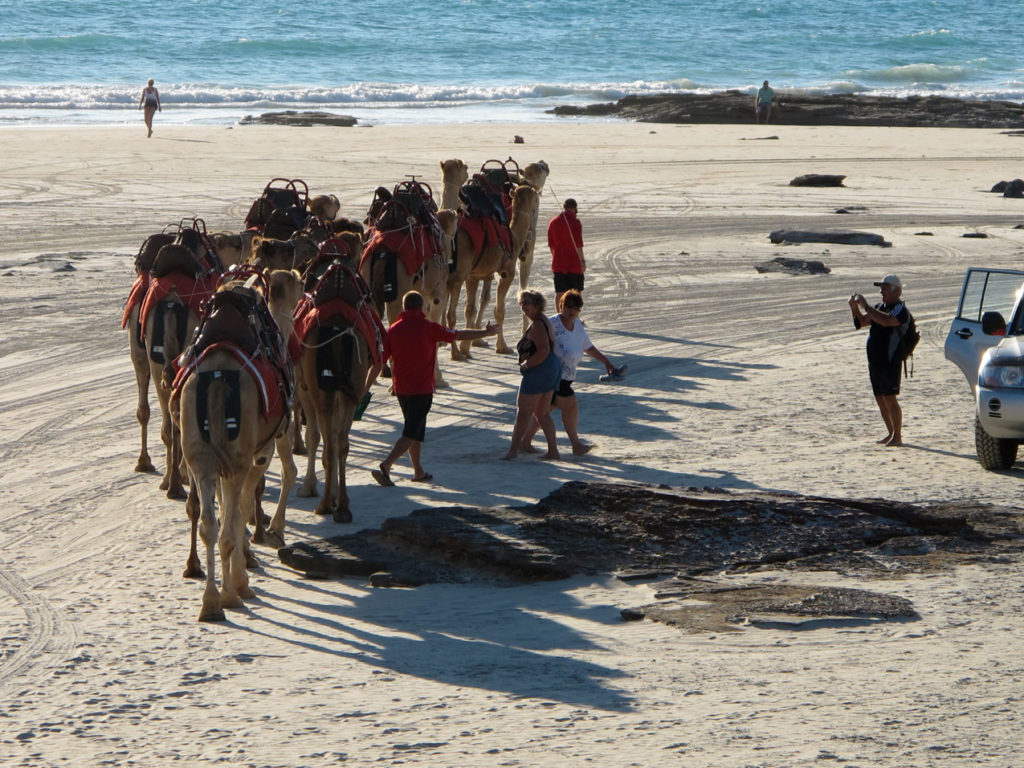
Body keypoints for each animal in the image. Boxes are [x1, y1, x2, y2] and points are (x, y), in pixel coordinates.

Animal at [176, 274, 294, 622]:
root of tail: (217, 378)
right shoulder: (259, 455)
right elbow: (241, 510)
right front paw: (242, 577)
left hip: (200, 458)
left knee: (209, 525)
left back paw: (210, 601)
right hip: (238, 458)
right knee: (227, 527)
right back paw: (230, 596)